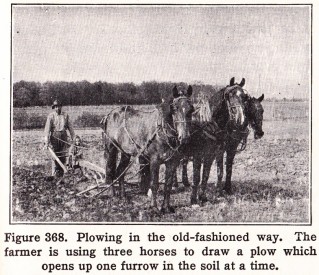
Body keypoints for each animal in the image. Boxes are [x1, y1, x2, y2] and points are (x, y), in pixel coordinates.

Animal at [178, 77, 250, 205]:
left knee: (184, 162)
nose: (240, 118)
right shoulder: (198, 154)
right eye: (228, 95)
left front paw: (203, 197)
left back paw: (185, 182)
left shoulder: (212, 153)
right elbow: (197, 177)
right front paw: (193, 199)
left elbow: (207, 175)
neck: (206, 124)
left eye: (244, 96)